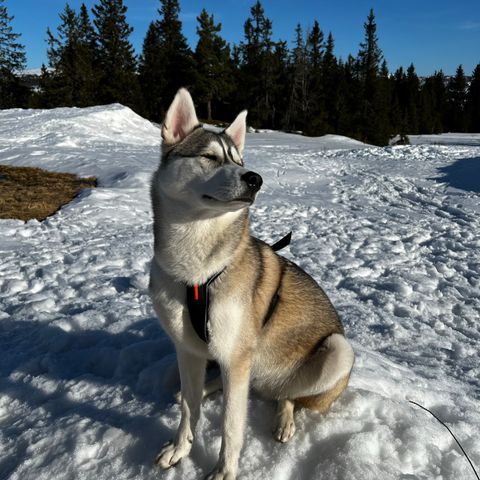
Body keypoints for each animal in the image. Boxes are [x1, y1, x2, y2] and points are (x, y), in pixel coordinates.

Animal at [150, 88, 356, 478]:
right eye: (210, 157)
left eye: (239, 159)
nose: (255, 178)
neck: (196, 271)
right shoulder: (187, 349)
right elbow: (188, 409)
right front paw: (180, 448)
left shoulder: (236, 358)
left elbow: (231, 427)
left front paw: (223, 472)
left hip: (337, 351)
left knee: (288, 396)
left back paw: (284, 419)